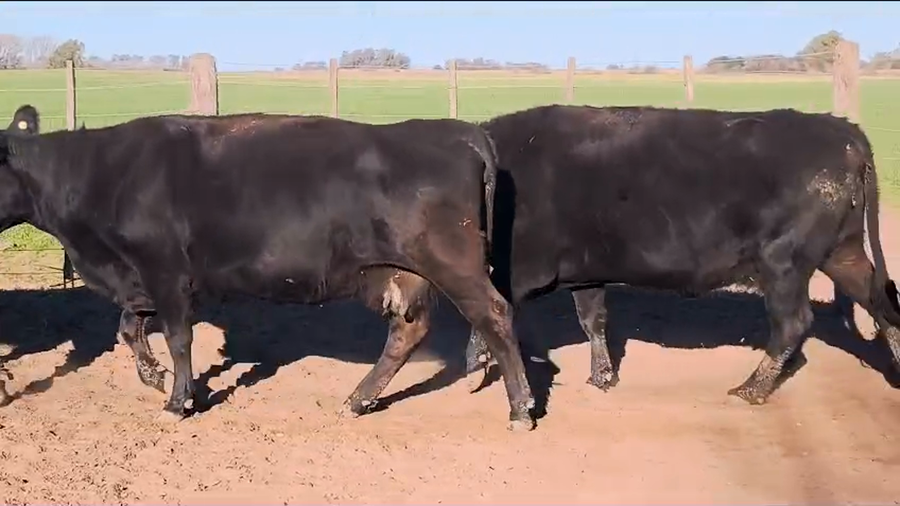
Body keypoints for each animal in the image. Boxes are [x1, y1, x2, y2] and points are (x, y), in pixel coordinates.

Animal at [0, 105, 537, 431]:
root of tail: (456, 129)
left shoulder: (166, 273)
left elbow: (177, 338)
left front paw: (177, 401)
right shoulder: (140, 280)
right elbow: (128, 329)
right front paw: (154, 377)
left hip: (454, 265)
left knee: (494, 315)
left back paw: (521, 408)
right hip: (403, 273)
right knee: (408, 332)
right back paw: (357, 401)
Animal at [458, 104, 900, 406]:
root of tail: (841, 128)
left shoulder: (520, 270)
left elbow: (487, 314)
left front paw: (473, 367)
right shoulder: (586, 272)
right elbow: (593, 320)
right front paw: (602, 377)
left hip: (784, 263)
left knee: (794, 324)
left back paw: (751, 389)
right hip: (841, 253)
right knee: (882, 302)